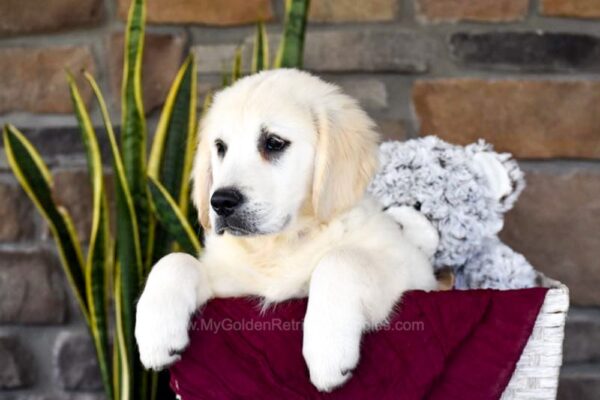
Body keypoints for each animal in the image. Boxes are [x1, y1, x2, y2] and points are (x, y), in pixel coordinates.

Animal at [135, 68, 436, 390]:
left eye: (274, 143)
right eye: (220, 148)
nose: (220, 202)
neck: (281, 245)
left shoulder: (412, 271)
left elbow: (341, 259)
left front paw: (328, 350)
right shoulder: (230, 287)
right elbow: (175, 260)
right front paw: (155, 330)